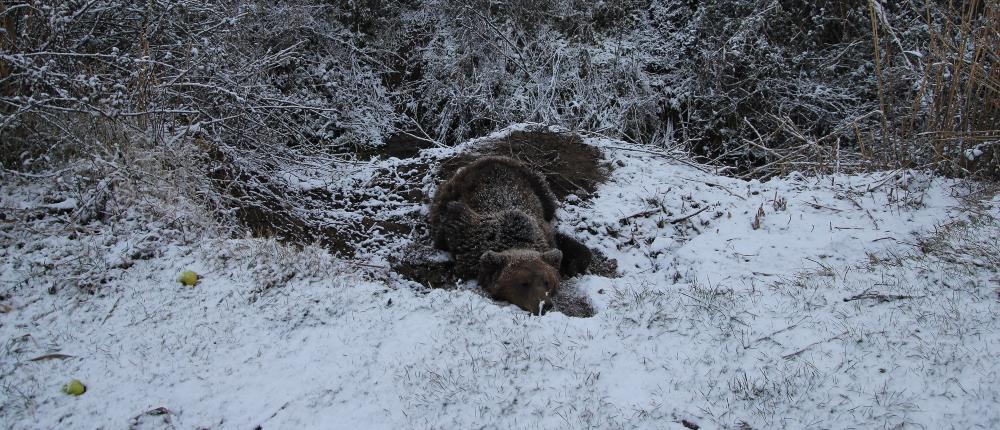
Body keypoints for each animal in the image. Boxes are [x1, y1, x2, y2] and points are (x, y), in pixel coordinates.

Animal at [434, 156, 568, 314]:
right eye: (524, 283)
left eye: (547, 281)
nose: (545, 305)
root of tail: (492, 158)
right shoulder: (467, 235)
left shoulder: (545, 235)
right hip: (453, 188)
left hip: (539, 186)